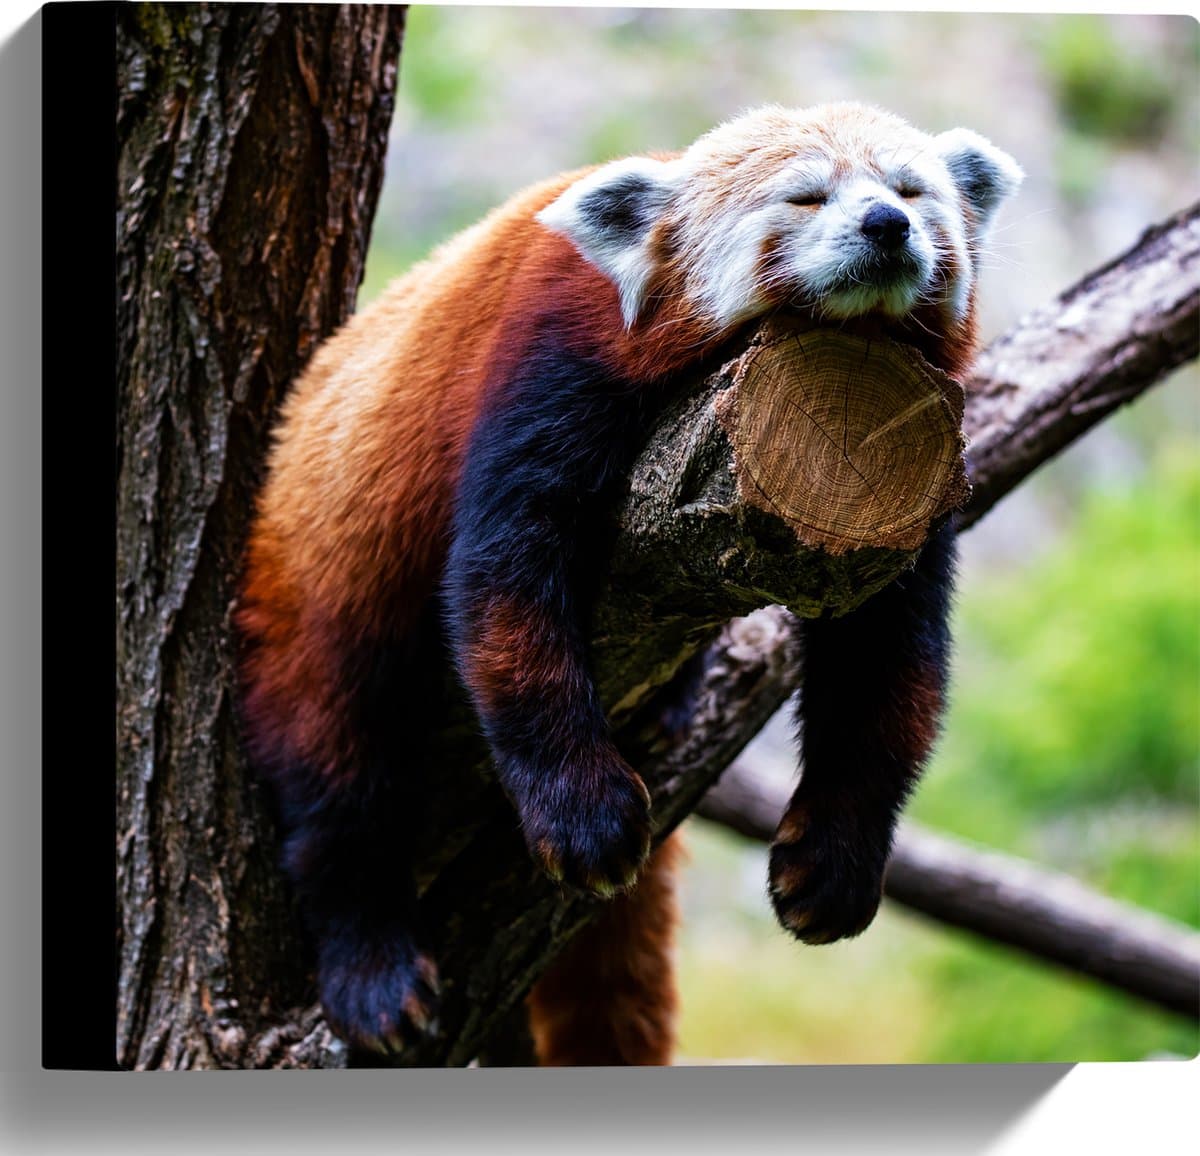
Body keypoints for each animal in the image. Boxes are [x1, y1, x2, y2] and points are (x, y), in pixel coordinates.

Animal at [235, 102, 1022, 1064]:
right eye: (806, 196)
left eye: (911, 190)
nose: (887, 224)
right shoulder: (550, 353)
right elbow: (503, 585)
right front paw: (585, 820)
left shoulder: (906, 462)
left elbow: (889, 666)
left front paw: (833, 863)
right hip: (310, 589)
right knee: (334, 763)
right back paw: (371, 962)